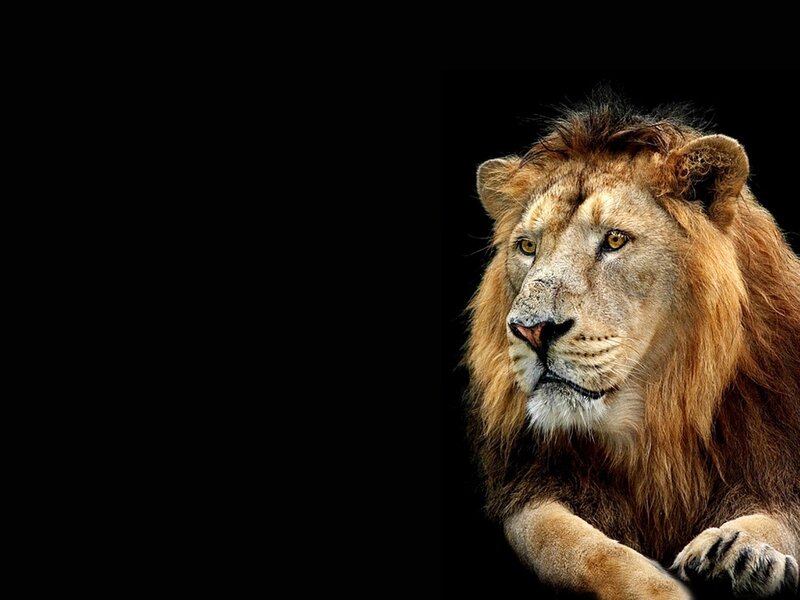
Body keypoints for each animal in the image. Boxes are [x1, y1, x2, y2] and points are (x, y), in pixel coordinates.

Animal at [466, 98, 800, 599]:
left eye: (615, 239)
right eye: (526, 246)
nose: (531, 331)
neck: (654, 420)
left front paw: (740, 553)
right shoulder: (530, 485)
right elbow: (580, 548)